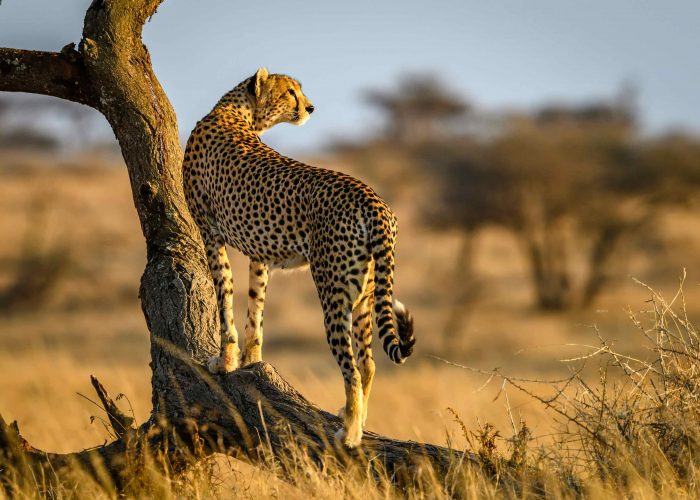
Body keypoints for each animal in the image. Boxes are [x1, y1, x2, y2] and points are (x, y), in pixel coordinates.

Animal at [185, 68, 416, 448]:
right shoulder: (258, 253)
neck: (235, 112)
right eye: (291, 91)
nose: (310, 107)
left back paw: (350, 432)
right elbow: (255, 308)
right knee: (368, 363)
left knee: (351, 366)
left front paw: (225, 361)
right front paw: (251, 360)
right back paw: (357, 417)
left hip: (333, 292)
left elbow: (224, 299)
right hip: (366, 293)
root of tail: (374, 199)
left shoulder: (211, 233)